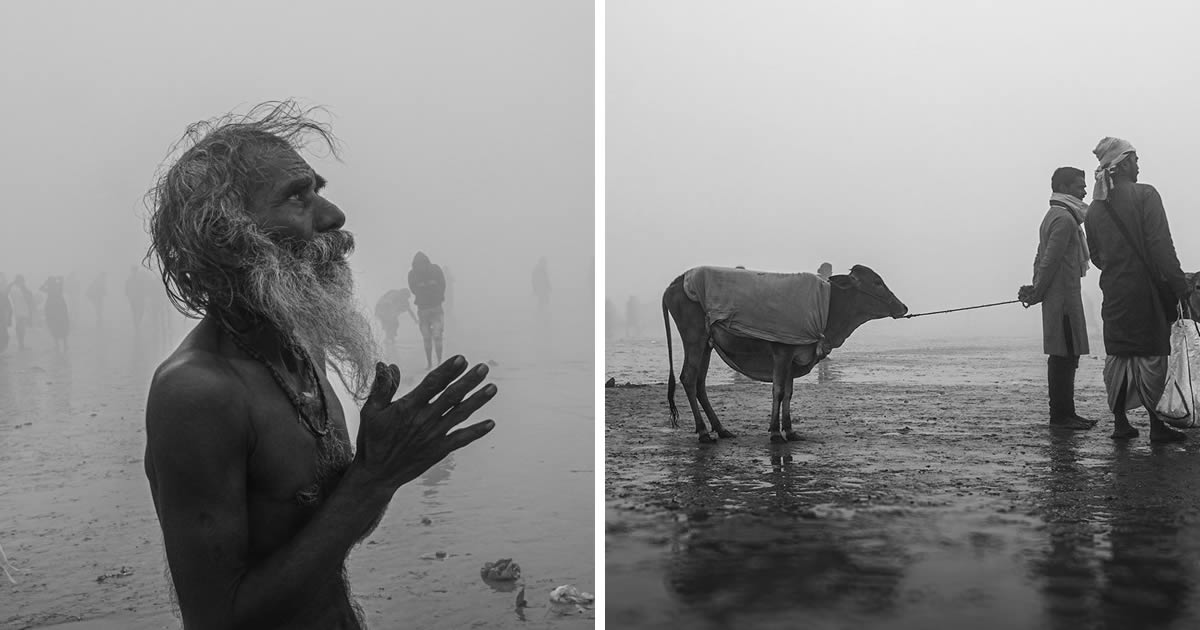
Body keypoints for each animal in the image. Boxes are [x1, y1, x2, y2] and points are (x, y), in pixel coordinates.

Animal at [662, 264, 902, 441]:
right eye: (877, 282)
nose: (903, 307)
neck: (828, 305)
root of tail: (676, 282)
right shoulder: (782, 354)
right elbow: (778, 391)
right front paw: (776, 432)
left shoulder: (793, 360)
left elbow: (788, 393)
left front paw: (790, 430)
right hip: (694, 339)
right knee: (689, 378)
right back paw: (703, 431)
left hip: (707, 345)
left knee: (700, 383)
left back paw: (720, 429)